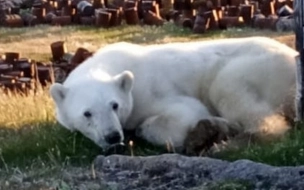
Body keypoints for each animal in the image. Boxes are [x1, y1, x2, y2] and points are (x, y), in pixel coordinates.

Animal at [49, 36, 296, 151]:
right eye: (87, 113)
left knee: (229, 91)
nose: (112, 136)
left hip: (256, 67)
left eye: (115, 105)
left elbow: (185, 112)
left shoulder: (149, 91)